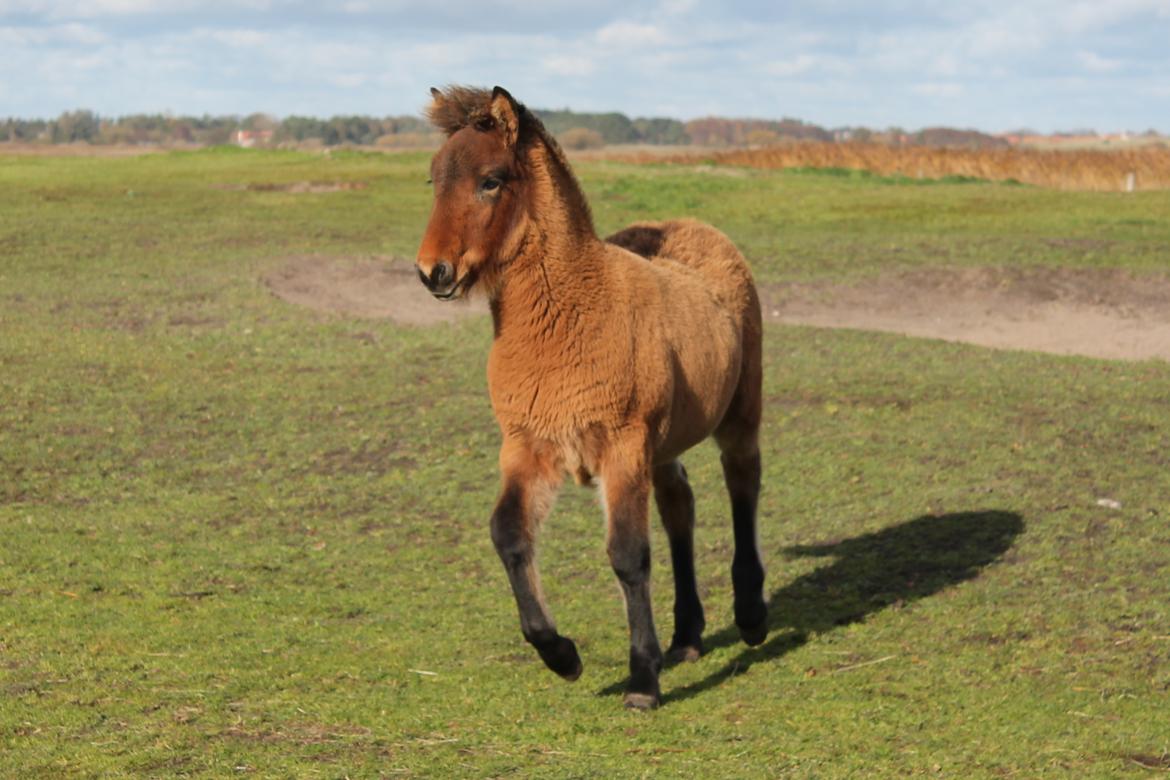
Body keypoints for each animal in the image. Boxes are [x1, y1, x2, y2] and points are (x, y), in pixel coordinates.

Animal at [414, 85, 767, 706]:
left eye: (491, 180)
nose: (433, 272)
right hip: (663, 444)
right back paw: (687, 635)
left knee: (742, 482)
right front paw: (561, 655)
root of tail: (695, 226)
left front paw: (643, 680)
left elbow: (627, 555)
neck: (571, 318)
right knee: (679, 505)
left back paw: (750, 618)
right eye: (434, 178)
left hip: (738, 414)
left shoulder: (622, 448)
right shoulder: (527, 446)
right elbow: (509, 535)